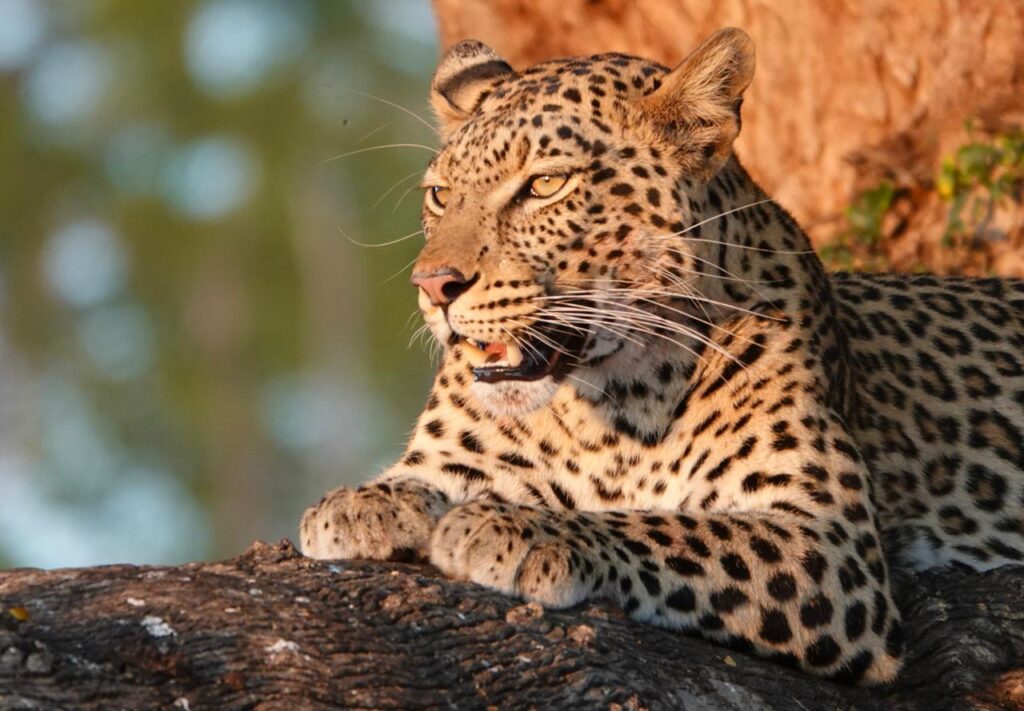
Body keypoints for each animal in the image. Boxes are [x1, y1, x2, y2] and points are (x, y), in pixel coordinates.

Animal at [299, 28, 1024, 685]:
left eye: (546, 185)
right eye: (441, 195)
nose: (433, 286)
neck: (604, 403)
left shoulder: (827, 537)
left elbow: (666, 527)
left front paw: (522, 527)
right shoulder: (452, 450)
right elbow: (421, 475)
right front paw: (362, 503)